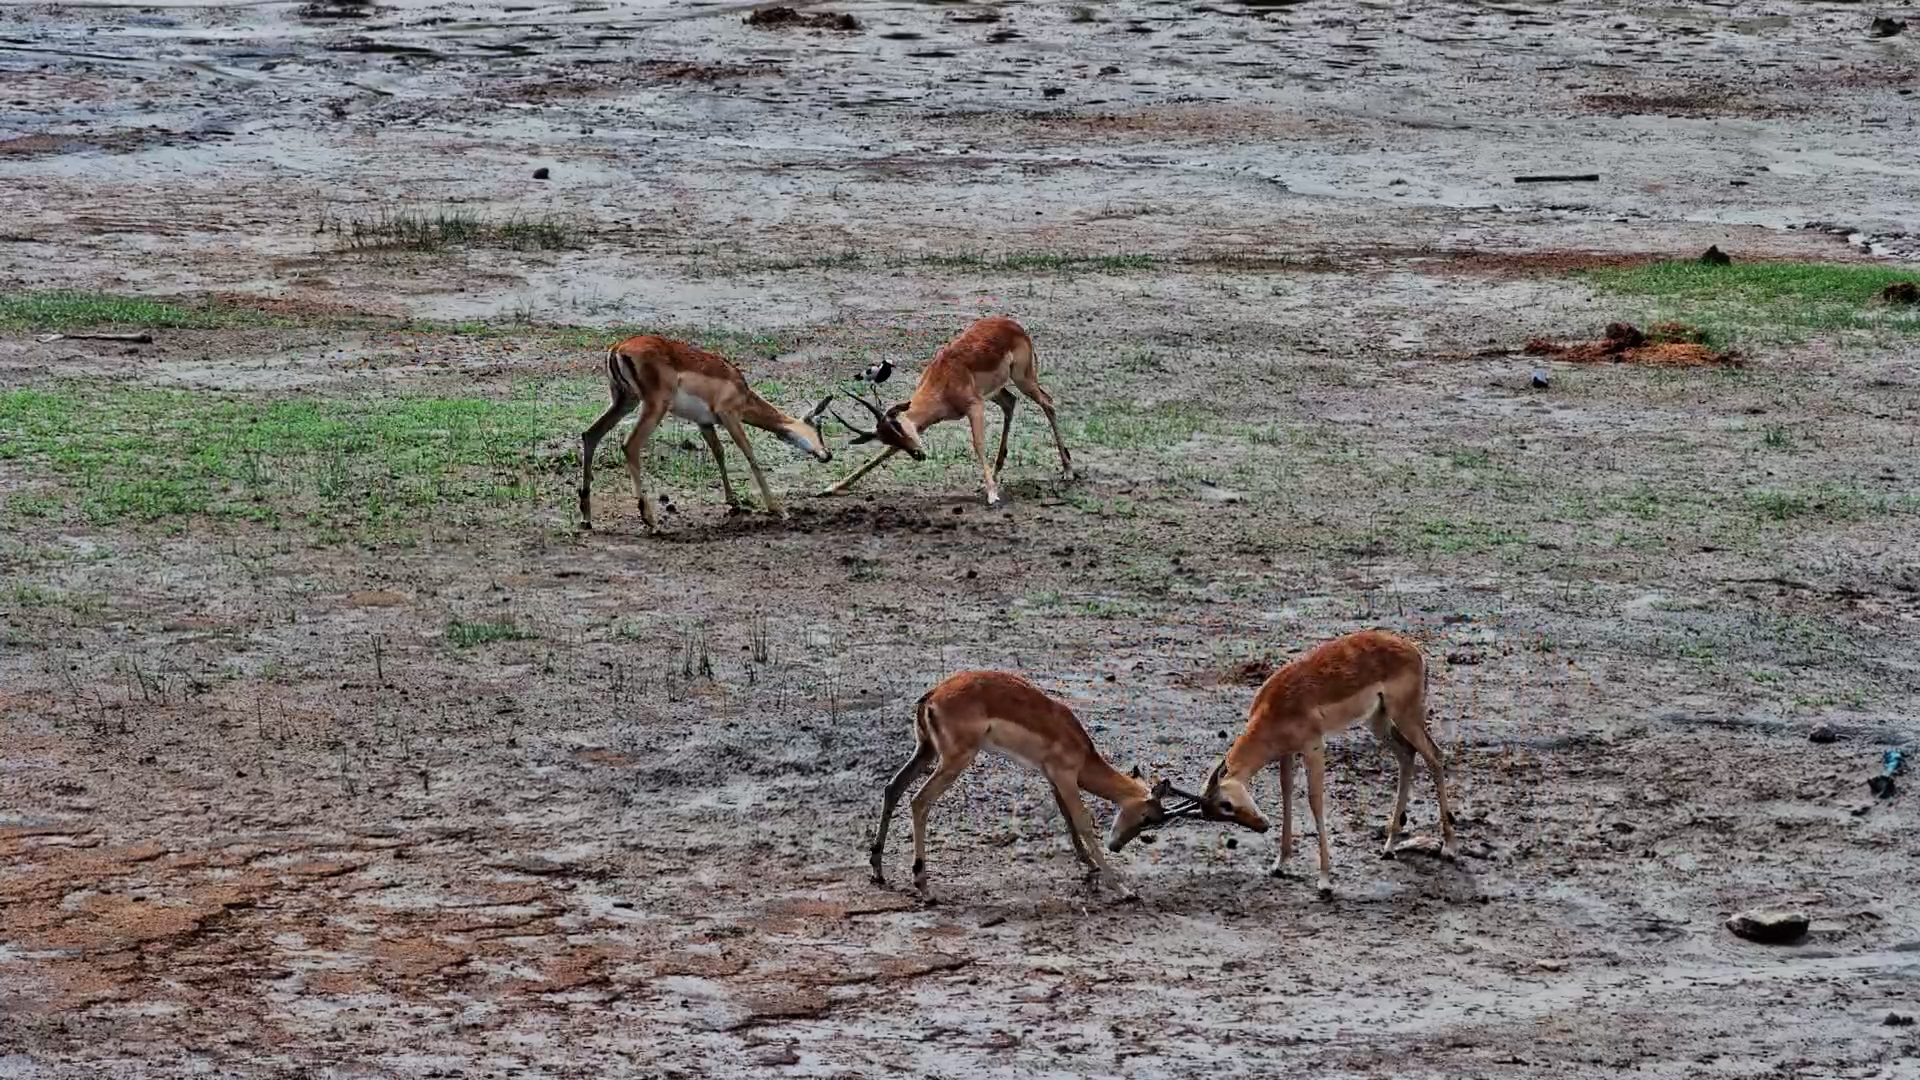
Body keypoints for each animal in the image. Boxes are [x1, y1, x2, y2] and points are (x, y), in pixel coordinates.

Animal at [578, 335, 833, 531]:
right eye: (819, 426)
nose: (827, 455)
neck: (741, 391)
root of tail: (619, 348)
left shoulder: (704, 424)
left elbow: (719, 452)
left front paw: (734, 502)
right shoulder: (730, 416)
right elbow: (749, 454)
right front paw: (778, 509)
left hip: (624, 401)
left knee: (590, 435)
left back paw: (586, 517)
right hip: (653, 406)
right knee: (629, 444)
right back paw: (649, 519)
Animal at [823, 316, 1073, 507]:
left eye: (897, 426)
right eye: (888, 436)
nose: (918, 455)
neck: (942, 381)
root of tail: (1013, 325)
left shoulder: (975, 407)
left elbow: (978, 444)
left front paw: (992, 495)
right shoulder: (922, 427)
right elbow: (879, 457)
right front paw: (831, 487)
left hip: (1023, 379)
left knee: (1048, 403)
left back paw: (1068, 470)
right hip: (996, 391)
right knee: (1010, 403)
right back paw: (997, 470)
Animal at [870, 670, 1206, 901]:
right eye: (1148, 818)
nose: (1117, 846)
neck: (1081, 749)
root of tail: (932, 695)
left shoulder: (1053, 778)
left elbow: (1068, 819)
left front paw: (1089, 864)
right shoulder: (1066, 777)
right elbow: (1083, 823)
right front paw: (1123, 889)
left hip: (926, 751)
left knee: (892, 788)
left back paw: (878, 870)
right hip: (955, 760)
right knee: (919, 801)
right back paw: (923, 886)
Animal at [1197, 629, 1456, 897]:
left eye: (1226, 804)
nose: (1262, 826)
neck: (1275, 705)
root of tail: (1413, 649)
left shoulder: (1314, 747)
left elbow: (1315, 801)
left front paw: (1324, 880)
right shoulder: (1287, 753)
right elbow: (1286, 795)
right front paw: (1280, 864)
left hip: (1405, 716)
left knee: (1435, 756)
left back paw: (1448, 847)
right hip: (1379, 721)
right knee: (1407, 755)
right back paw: (1389, 847)